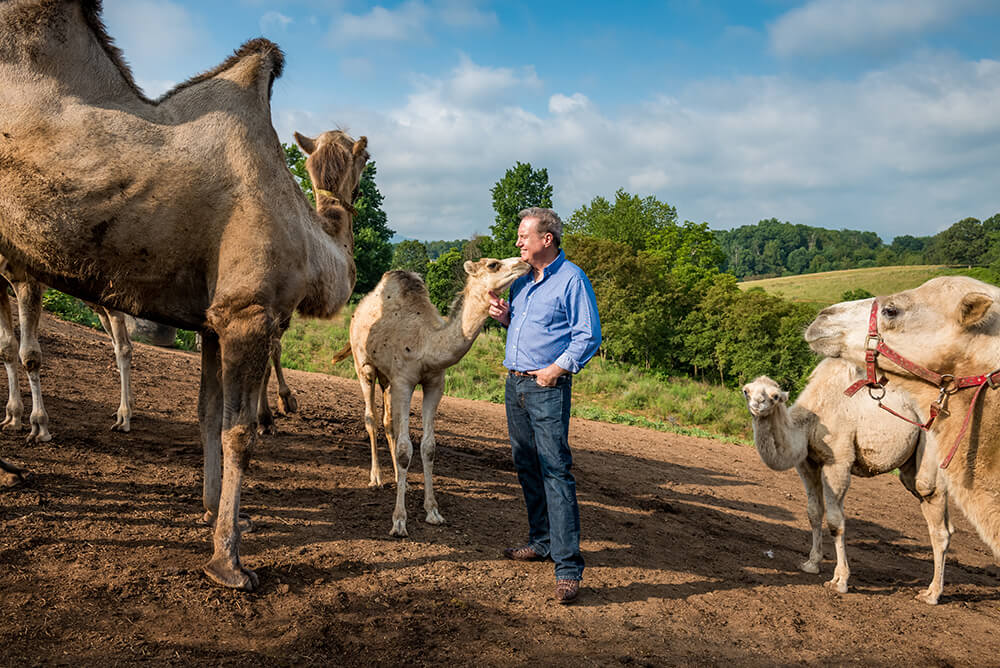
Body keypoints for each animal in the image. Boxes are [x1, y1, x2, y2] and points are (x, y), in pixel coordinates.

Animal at [1, 260, 135, 442]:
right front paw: (12, 418)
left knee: (123, 345)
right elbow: (6, 347)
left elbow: (30, 356)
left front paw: (39, 427)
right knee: (119, 340)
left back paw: (123, 418)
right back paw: (127, 411)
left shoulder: (26, 277)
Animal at [332, 258, 529, 536]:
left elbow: (428, 447)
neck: (426, 342)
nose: (523, 262)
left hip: (387, 380)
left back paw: (399, 479)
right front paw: (399, 521)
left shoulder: (434, 383)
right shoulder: (404, 382)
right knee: (371, 417)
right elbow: (406, 448)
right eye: (493, 265)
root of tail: (358, 311)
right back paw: (376, 478)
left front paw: (433, 511)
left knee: (388, 422)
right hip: (365, 367)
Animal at [743, 357, 952, 604]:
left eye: (775, 396)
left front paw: (839, 581)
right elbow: (814, 513)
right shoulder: (808, 463)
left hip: (931, 447)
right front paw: (811, 564)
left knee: (931, 497)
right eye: (747, 391)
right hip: (911, 463)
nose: (757, 404)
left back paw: (932, 594)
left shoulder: (838, 462)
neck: (811, 421)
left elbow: (835, 522)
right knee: (938, 517)